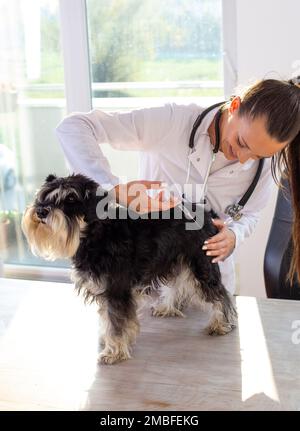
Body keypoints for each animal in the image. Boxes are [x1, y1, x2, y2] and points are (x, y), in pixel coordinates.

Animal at [22, 174, 237, 366]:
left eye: (71, 198)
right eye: (44, 195)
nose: (41, 211)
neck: (96, 235)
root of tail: (207, 214)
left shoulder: (116, 291)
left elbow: (115, 321)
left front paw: (113, 352)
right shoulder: (107, 291)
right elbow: (109, 318)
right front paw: (109, 339)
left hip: (201, 266)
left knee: (219, 294)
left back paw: (221, 323)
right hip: (176, 262)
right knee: (176, 285)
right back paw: (167, 307)